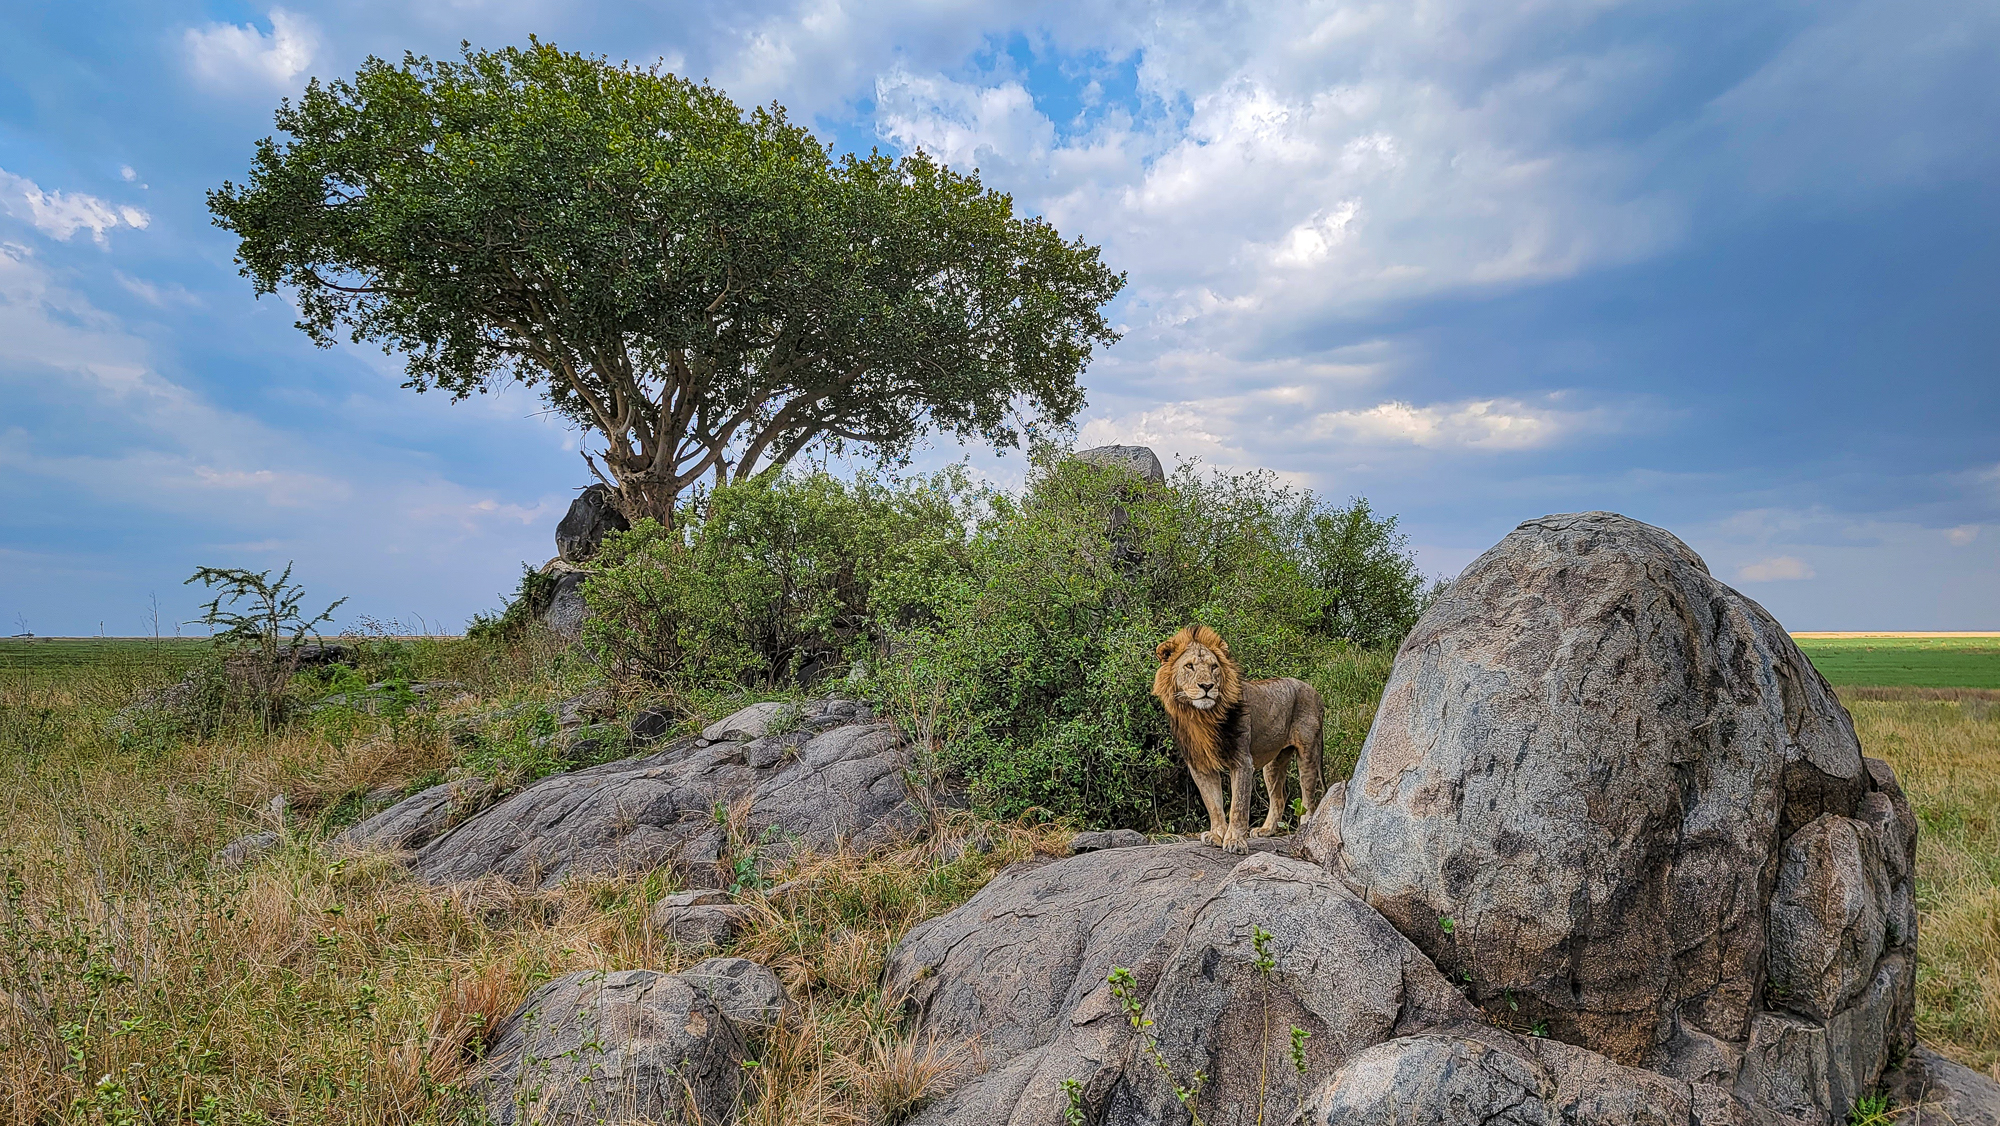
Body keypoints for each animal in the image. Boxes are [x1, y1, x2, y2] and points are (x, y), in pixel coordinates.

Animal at [1152, 624, 1320, 856]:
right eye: (1189, 666)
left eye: (1214, 667)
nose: (1207, 686)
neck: (1201, 716)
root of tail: (1314, 691)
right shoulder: (1200, 765)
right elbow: (1213, 803)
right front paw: (1216, 835)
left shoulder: (1242, 761)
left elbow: (1238, 806)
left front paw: (1235, 841)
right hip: (1273, 763)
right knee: (1279, 796)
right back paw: (1266, 830)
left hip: (1308, 753)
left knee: (1308, 796)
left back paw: (1305, 827)